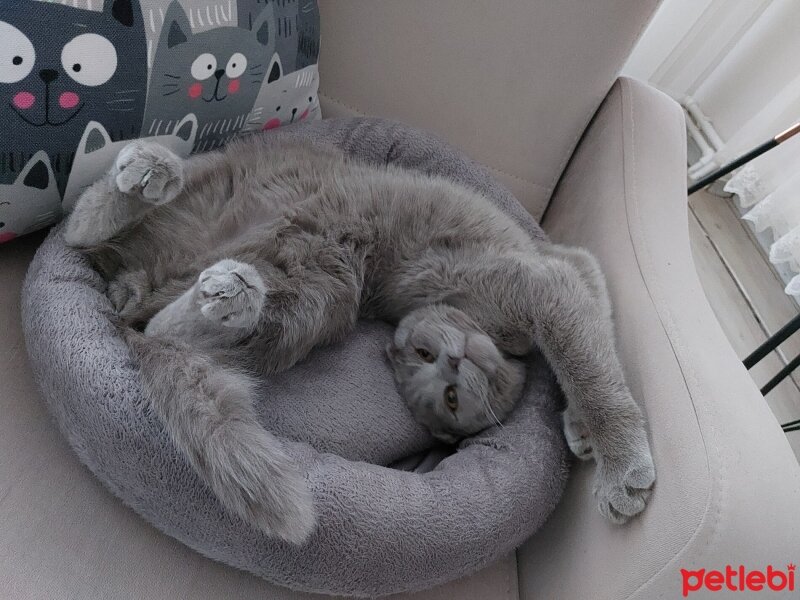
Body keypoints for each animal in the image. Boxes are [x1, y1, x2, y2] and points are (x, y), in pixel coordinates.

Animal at [65, 136, 656, 544]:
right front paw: (622, 465)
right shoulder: (543, 285)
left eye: (449, 394)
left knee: (144, 304)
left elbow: (592, 328)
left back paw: (223, 287)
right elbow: (590, 368)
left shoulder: (571, 267)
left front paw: (580, 430)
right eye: (426, 359)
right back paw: (149, 173)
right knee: (85, 231)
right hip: (235, 194)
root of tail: (140, 279)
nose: (452, 357)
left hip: (315, 292)